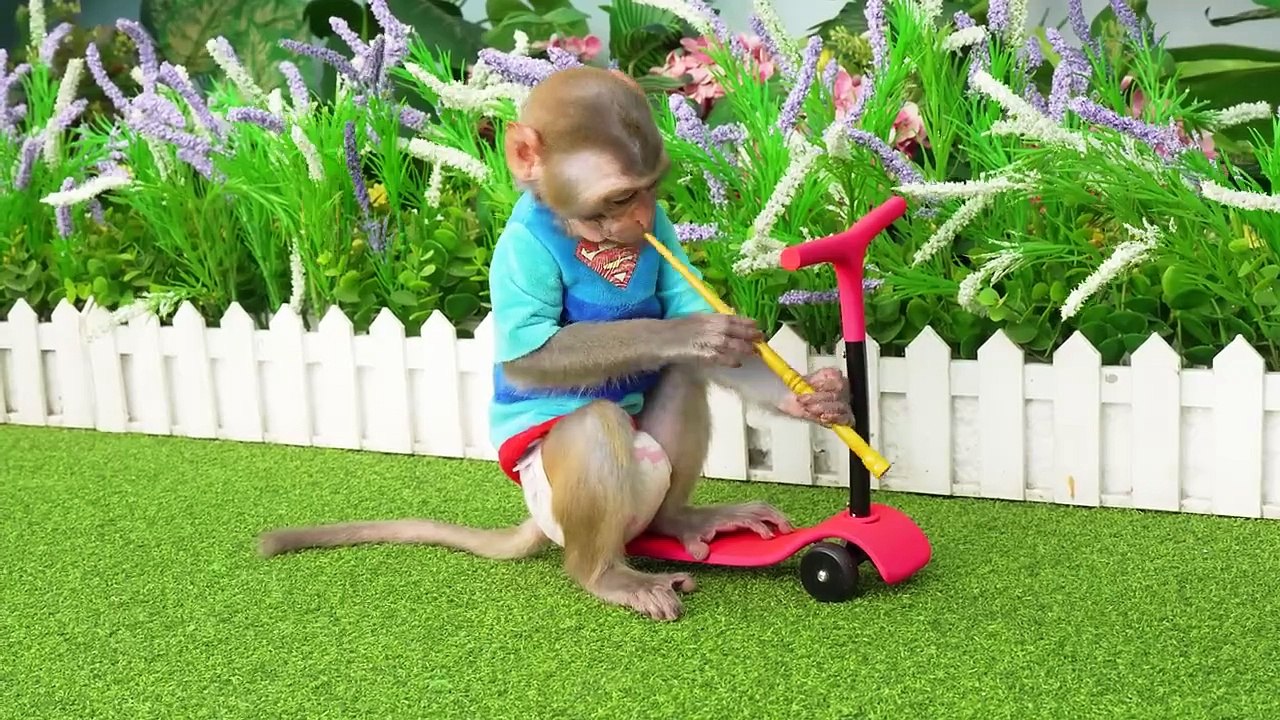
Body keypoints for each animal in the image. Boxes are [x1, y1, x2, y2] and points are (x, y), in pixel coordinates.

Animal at [258, 66, 855, 622]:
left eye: (651, 190)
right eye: (620, 196)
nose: (642, 219)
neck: (583, 238)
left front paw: (815, 397)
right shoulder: (521, 249)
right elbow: (530, 361)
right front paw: (692, 332)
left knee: (680, 377)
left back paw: (678, 519)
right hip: (553, 497)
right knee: (594, 427)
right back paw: (606, 576)